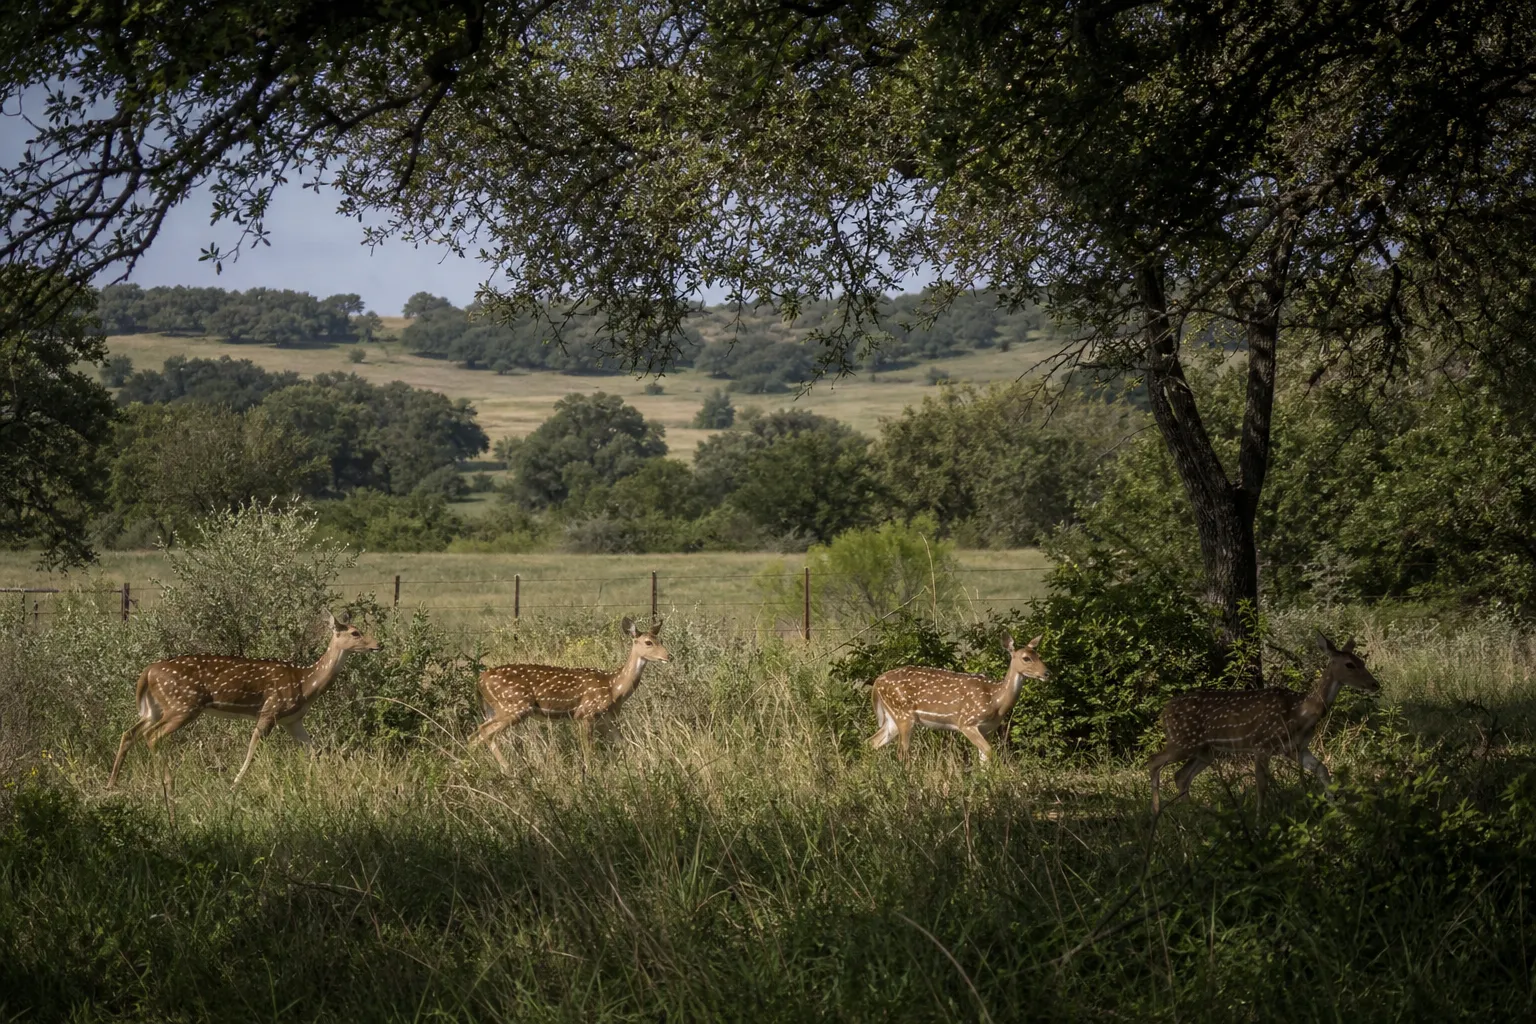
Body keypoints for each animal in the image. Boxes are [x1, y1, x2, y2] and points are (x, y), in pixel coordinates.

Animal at [107, 610, 381, 789]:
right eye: (356, 632)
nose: (378, 645)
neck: (305, 683)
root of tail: (148, 671)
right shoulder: (270, 710)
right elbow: (253, 748)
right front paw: (235, 784)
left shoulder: (292, 720)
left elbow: (314, 750)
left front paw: (332, 777)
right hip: (182, 704)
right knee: (152, 735)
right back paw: (166, 781)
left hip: (155, 707)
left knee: (130, 733)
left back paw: (112, 784)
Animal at [468, 616, 670, 767]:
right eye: (648, 642)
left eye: (661, 640)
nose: (668, 656)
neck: (614, 688)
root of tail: (480, 680)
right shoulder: (585, 714)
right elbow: (589, 752)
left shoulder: (607, 719)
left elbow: (626, 745)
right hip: (513, 706)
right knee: (481, 732)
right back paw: (505, 769)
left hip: (497, 708)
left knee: (478, 734)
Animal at [865, 633, 1048, 764]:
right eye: (1026, 658)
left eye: (1039, 655)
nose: (1047, 673)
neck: (996, 701)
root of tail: (877, 682)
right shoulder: (966, 722)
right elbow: (989, 752)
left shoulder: (988, 729)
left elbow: (984, 758)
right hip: (903, 714)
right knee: (902, 752)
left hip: (893, 718)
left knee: (872, 742)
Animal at [1147, 632, 1381, 815]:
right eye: (1350, 664)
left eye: (1362, 661)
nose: (1374, 684)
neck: (1300, 712)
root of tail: (1163, 712)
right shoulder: (1261, 744)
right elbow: (1261, 785)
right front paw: (1260, 822)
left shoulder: (1295, 748)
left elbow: (1322, 769)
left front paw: (1336, 807)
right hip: (1182, 741)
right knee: (1154, 761)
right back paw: (1157, 815)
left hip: (1205, 750)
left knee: (1181, 776)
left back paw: (1195, 816)